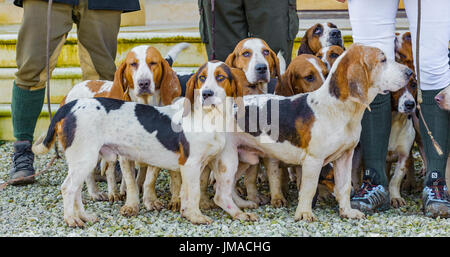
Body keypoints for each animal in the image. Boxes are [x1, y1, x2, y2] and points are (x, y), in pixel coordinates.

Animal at [227, 44, 414, 220]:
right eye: (382, 60)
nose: (410, 72)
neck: (338, 108)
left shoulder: (345, 157)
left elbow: (345, 187)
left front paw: (347, 211)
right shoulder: (313, 161)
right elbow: (308, 189)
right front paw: (304, 213)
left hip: (241, 159)